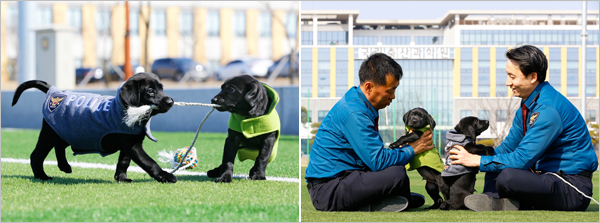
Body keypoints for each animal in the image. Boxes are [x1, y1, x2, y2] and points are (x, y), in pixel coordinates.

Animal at [11, 73, 177, 183]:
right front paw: (165, 176)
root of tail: (55, 92)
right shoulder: (133, 145)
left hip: (68, 130)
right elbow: (149, 162)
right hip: (49, 134)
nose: (171, 101)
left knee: (60, 146)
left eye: (162, 88)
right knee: (36, 155)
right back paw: (42, 176)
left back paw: (64, 167)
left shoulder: (129, 144)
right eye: (150, 91)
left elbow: (124, 161)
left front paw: (121, 178)